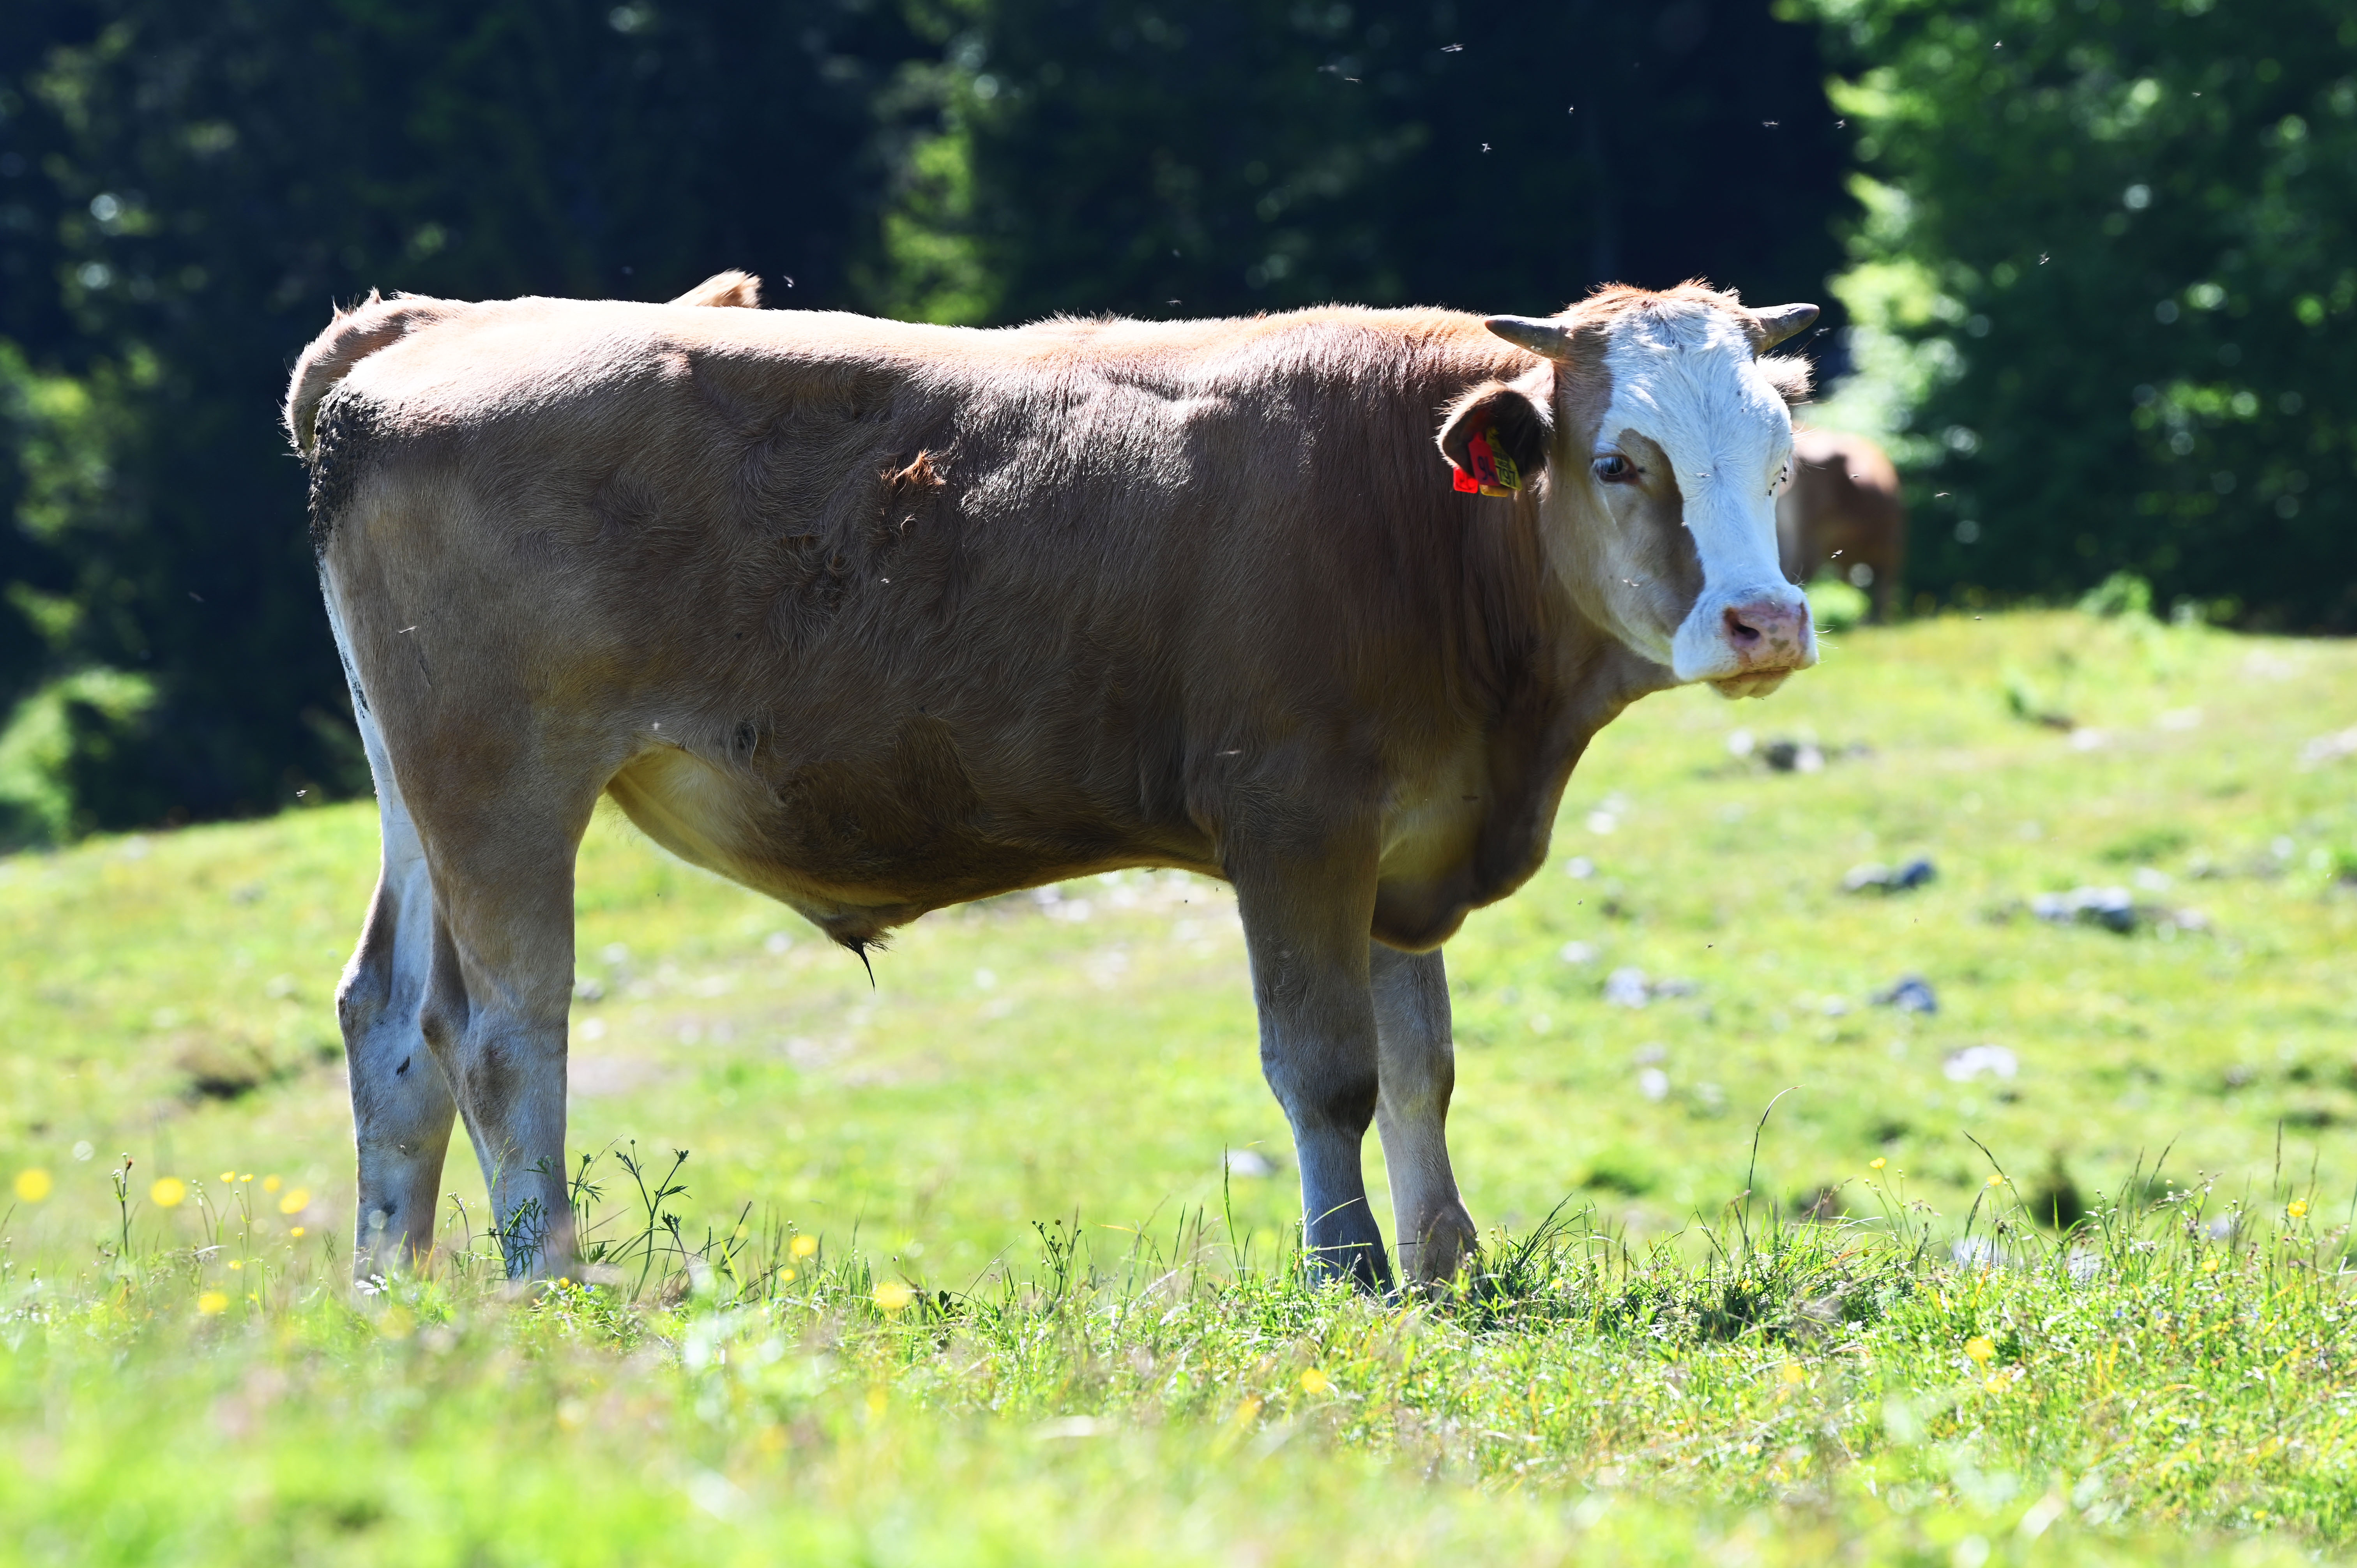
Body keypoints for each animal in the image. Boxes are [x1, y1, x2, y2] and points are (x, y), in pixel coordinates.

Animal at [286, 274, 1820, 1292]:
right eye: (1619, 460)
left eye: (1778, 458)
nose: (1765, 622)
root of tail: (432, 323)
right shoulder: (1294, 825)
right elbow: (1328, 1072)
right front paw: (1352, 1278)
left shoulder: (1403, 843)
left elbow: (1420, 1072)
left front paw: (1450, 1265)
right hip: (501, 776)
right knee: (501, 1028)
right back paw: (547, 1284)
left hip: (414, 786)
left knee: (390, 1022)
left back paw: (392, 1293)